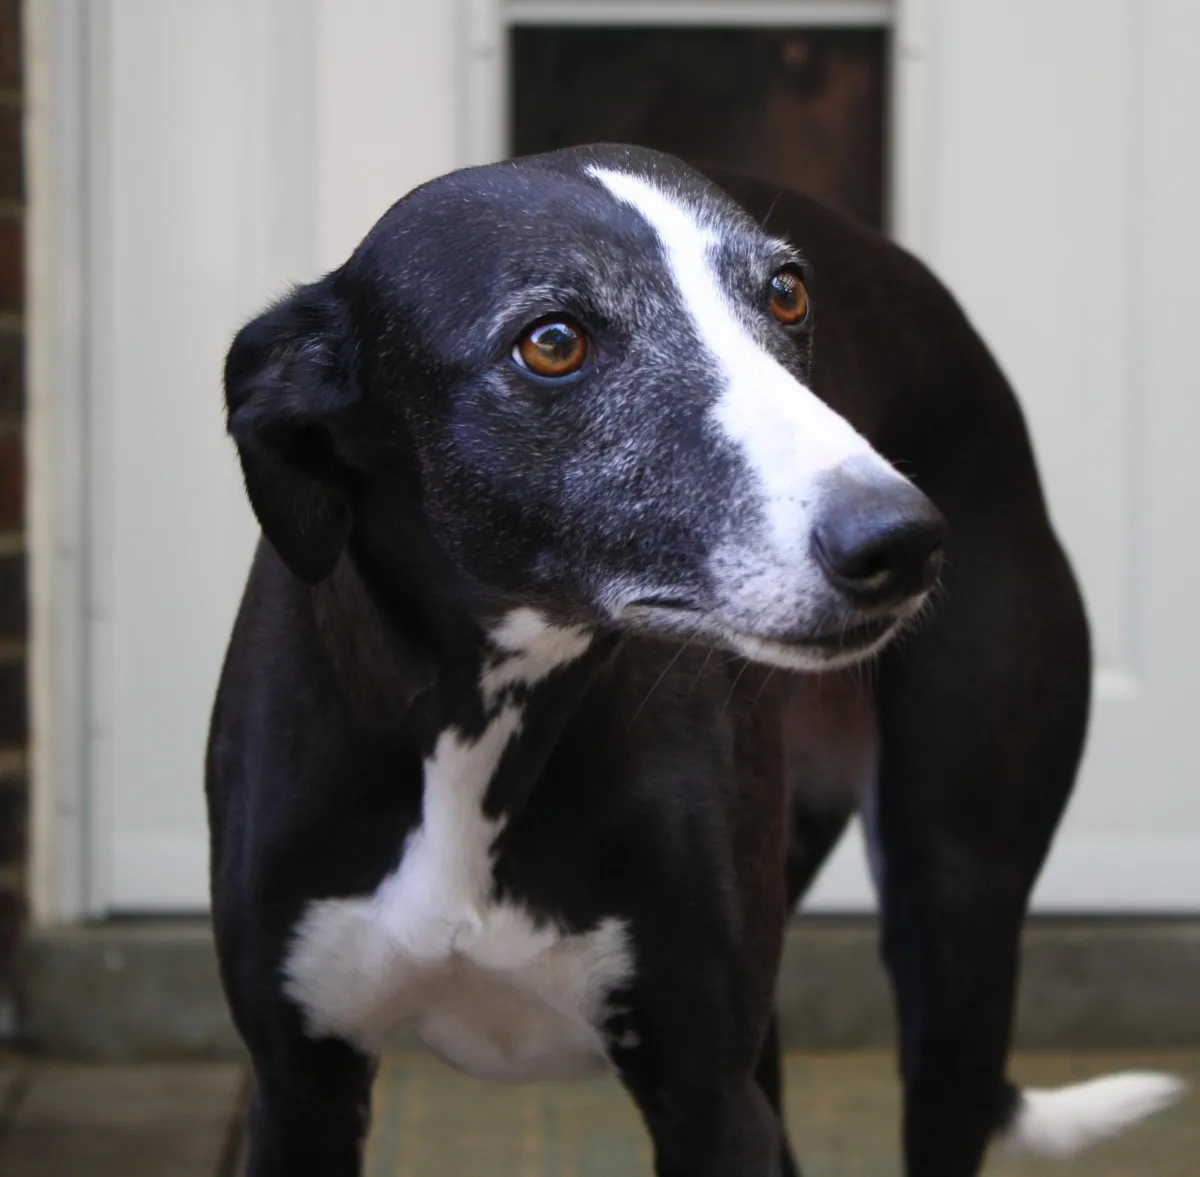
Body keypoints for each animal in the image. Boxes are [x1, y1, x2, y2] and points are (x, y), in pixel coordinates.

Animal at [208, 142, 1180, 1171]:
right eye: (552, 341)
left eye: (787, 292)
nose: (902, 542)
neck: (483, 725)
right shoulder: (298, 1087)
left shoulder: (708, 1095)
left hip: (956, 913)